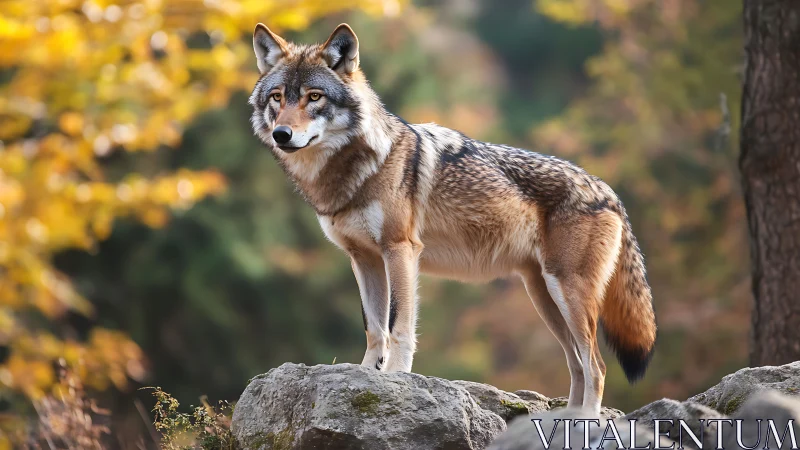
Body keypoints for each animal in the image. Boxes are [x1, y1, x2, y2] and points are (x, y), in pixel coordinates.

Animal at [248, 23, 657, 413]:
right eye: (278, 97)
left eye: (314, 97)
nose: (282, 134)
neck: (356, 169)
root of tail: (608, 191)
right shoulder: (363, 259)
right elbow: (374, 329)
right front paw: (363, 377)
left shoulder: (400, 250)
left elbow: (398, 326)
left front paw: (395, 380)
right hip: (544, 297)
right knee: (576, 364)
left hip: (567, 293)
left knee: (596, 366)